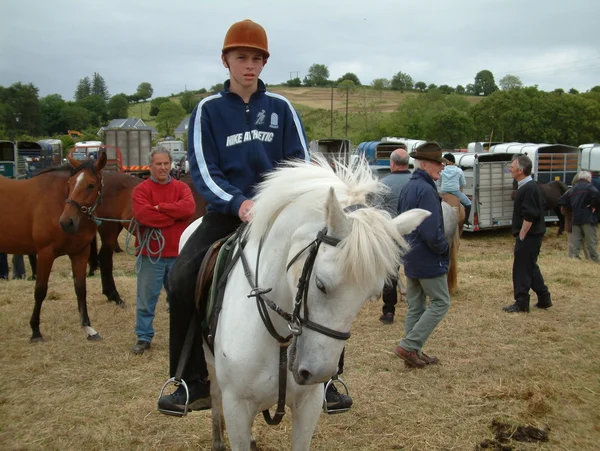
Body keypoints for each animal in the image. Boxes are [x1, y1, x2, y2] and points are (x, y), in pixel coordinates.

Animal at [0, 154, 106, 340]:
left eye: (91, 185)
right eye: (70, 183)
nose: (66, 222)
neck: (57, 202)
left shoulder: (80, 253)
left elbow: (81, 288)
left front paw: (88, 328)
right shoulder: (45, 253)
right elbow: (40, 290)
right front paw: (35, 330)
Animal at [180, 156, 428, 451]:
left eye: (371, 294)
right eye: (320, 284)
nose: (316, 373)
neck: (278, 336)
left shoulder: (308, 405)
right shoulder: (236, 407)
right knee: (215, 392)